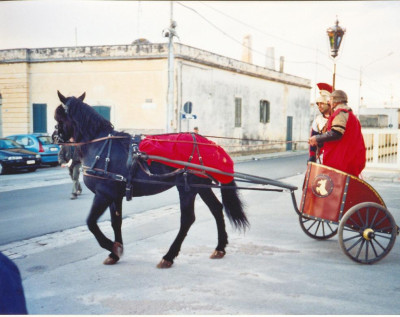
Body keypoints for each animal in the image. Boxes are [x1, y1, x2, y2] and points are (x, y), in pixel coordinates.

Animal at [52, 91, 247, 266]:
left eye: (58, 118)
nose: (55, 139)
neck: (101, 145)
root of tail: (209, 143)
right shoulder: (115, 196)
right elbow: (116, 222)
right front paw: (115, 252)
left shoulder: (103, 194)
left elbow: (91, 223)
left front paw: (113, 247)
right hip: (201, 186)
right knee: (216, 209)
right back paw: (220, 247)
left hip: (188, 188)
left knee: (187, 219)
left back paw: (169, 256)